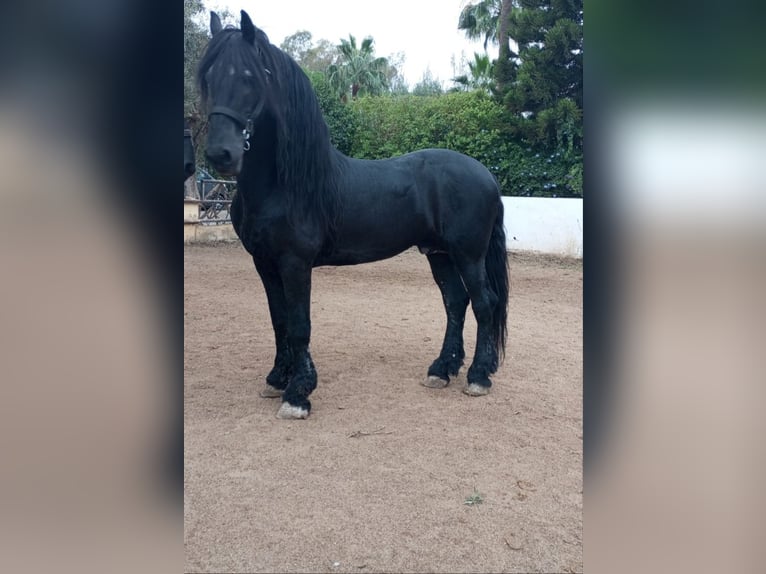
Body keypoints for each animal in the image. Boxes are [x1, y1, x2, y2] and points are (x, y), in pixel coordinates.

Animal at [198, 10, 510, 419]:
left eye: (249, 77)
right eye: (208, 77)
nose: (221, 154)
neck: (287, 185)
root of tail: (486, 174)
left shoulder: (294, 262)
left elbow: (299, 324)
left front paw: (298, 393)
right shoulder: (264, 263)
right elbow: (279, 320)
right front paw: (277, 379)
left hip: (468, 254)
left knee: (485, 302)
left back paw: (478, 376)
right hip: (439, 254)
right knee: (456, 303)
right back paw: (442, 369)